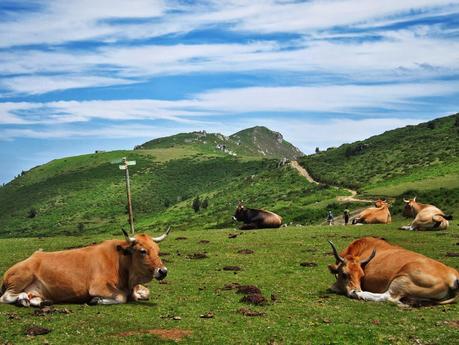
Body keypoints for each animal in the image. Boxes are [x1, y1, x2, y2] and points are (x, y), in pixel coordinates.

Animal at [0, 228, 171, 306]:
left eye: (158, 250)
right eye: (143, 251)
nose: (163, 271)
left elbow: (145, 292)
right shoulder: (98, 287)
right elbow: (121, 297)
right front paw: (96, 300)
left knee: (33, 298)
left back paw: (37, 301)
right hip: (23, 275)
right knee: (6, 297)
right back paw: (22, 298)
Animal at [328, 236, 458, 306]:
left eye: (361, 276)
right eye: (344, 274)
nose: (355, 289)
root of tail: (452, 276)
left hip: (401, 280)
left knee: (387, 297)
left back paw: (360, 294)